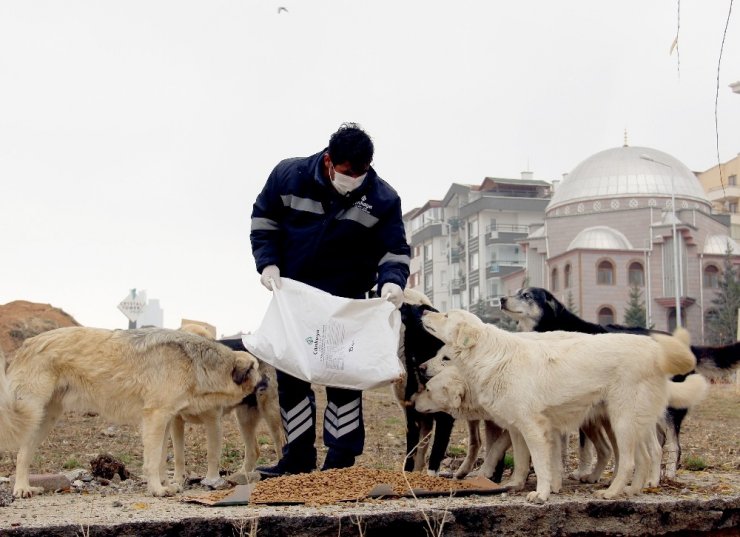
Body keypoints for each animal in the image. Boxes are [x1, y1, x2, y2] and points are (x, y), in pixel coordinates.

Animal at [0, 324, 262, 496]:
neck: (194, 361)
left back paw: (23, 487)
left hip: (44, 418)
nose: (266, 383)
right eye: (257, 371)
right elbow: (153, 460)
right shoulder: (156, 417)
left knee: (24, 452)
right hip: (32, 412)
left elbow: (161, 459)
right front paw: (157, 490)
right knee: (22, 451)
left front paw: (165, 485)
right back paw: (21, 489)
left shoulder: (166, 421)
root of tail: (27, 343)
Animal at [176, 322, 286, 486]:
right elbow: (176, 455)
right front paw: (175, 481)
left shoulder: (213, 420)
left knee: (281, 443)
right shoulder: (173, 422)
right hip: (244, 418)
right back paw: (242, 475)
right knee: (254, 450)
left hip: (270, 412)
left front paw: (211, 480)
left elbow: (212, 454)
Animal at [420, 308, 696, 500]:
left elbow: (541, 464)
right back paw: (631, 491)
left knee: (630, 461)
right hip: (627, 423)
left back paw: (612, 492)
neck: (491, 357)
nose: (423, 311)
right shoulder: (519, 429)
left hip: (623, 421)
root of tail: (655, 352)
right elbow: (522, 461)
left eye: (446, 315)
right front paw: (516, 485)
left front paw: (541, 494)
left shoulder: (534, 429)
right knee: (645, 456)